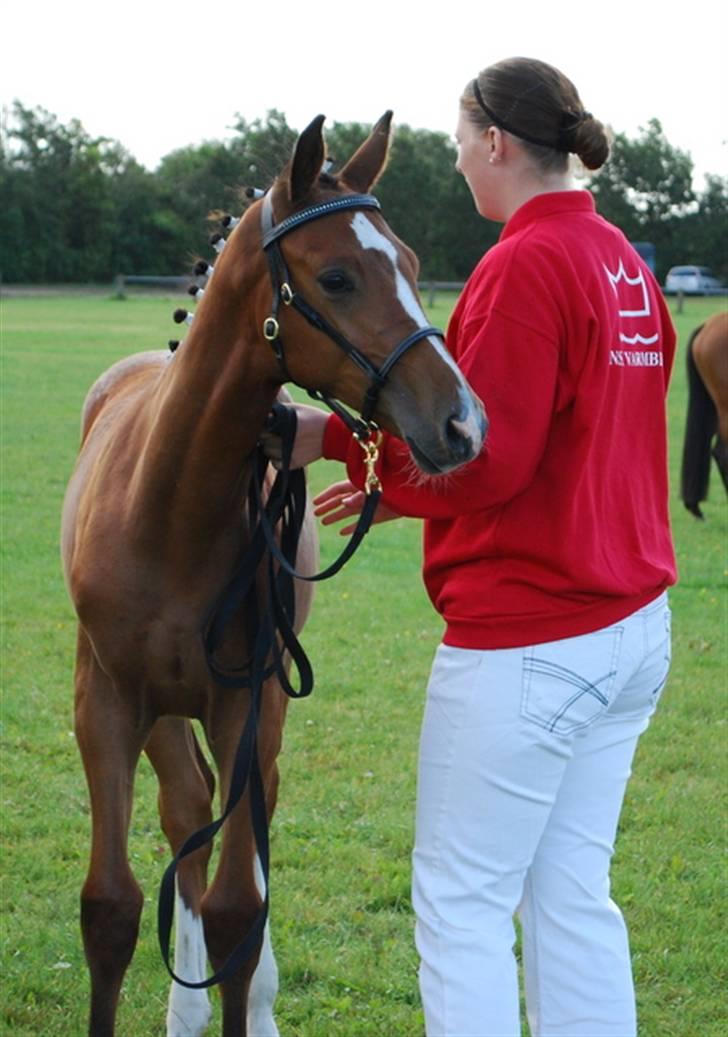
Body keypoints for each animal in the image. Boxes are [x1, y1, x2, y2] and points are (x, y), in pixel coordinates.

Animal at [61, 107, 485, 1037]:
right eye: (336, 276)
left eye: (411, 266)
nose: (464, 424)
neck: (167, 508)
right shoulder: (106, 699)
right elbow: (111, 904)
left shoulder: (250, 699)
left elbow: (237, 909)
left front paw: (244, 997)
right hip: (162, 707)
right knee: (187, 807)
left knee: (243, 829)